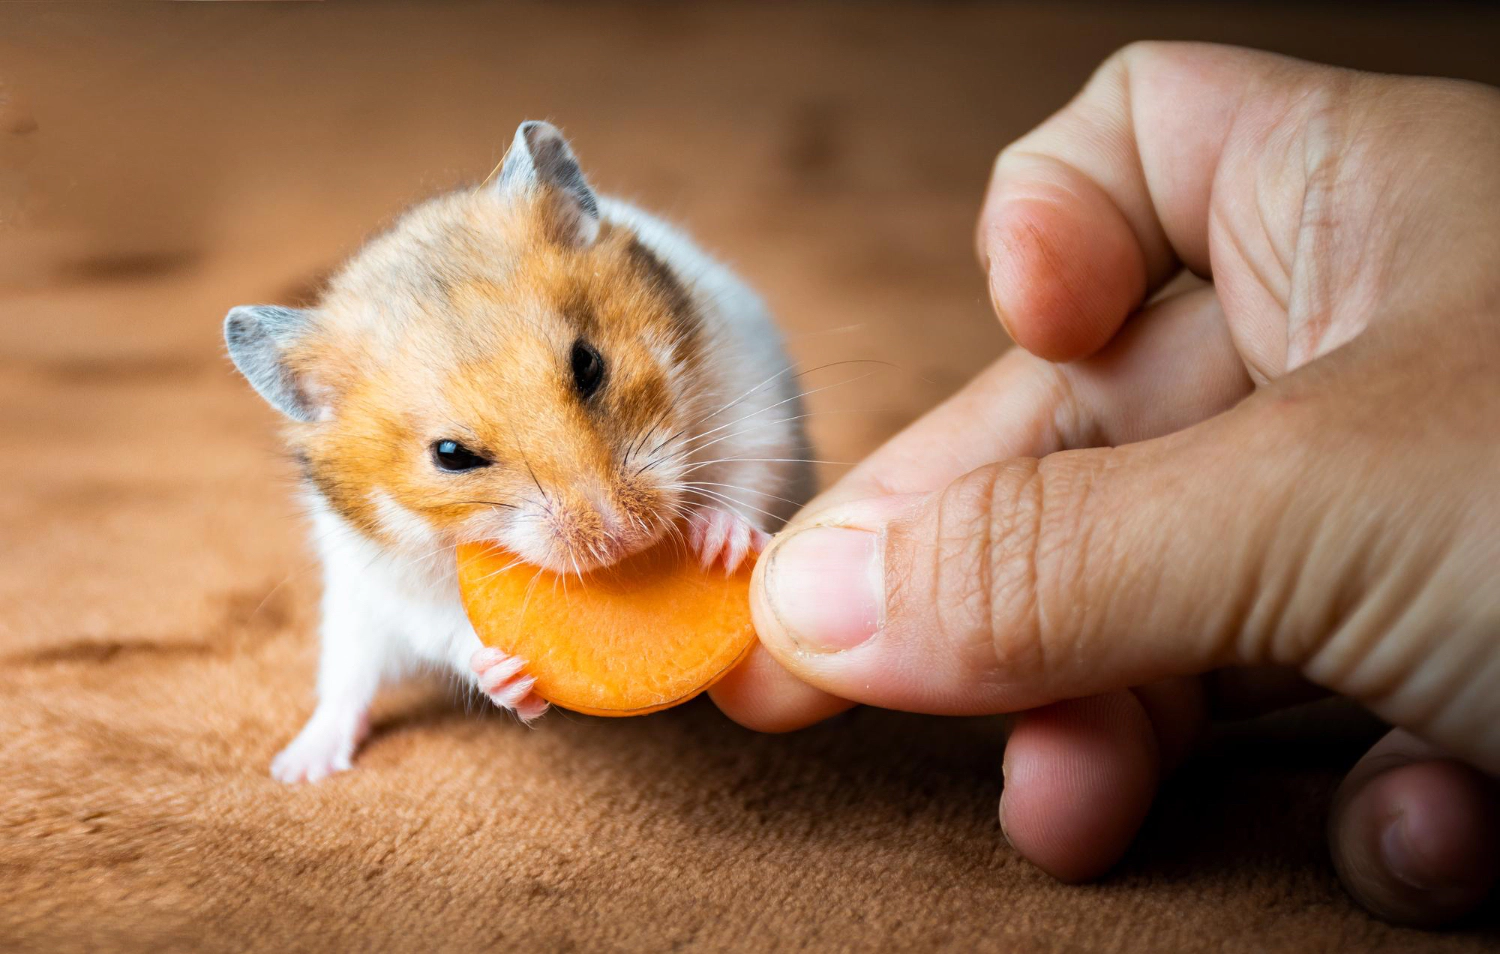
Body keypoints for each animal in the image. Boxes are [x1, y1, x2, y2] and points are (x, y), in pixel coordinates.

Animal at [225, 121, 813, 783]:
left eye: (589, 364)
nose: (625, 539)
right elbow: (451, 631)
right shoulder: (396, 576)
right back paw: (299, 768)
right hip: (351, 615)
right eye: (451, 454)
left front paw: (719, 544)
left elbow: (745, 481)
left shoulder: (752, 408)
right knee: (347, 686)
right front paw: (508, 677)